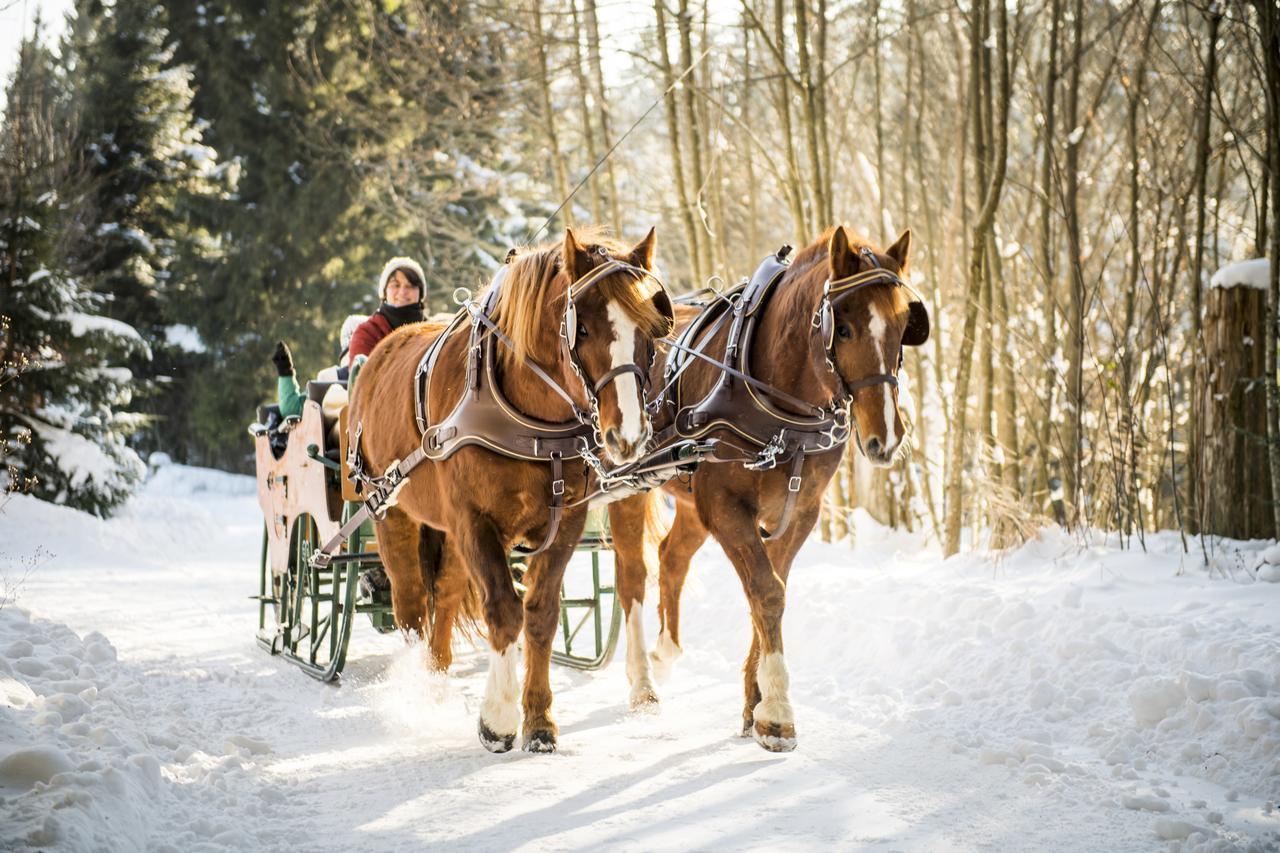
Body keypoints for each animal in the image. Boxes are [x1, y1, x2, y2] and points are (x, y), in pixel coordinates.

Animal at [345, 227, 675, 753]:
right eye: (582, 329)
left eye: (649, 329)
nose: (627, 435)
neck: (528, 414)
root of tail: (377, 357)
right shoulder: (474, 520)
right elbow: (502, 608)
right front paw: (497, 719)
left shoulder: (564, 521)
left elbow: (539, 612)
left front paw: (538, 719)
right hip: (389, 510)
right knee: (411, 604)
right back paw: (421, 692)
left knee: (446, 593)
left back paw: (438, 675)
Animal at [604, 225, 926, 753]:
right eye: (843, 328)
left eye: (904, 326)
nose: (886, 437)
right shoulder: (726, 508)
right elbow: (766, 592)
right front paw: (776, 714)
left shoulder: (800, 513)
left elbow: (771, 590)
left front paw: (754, 704)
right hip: (629, 484)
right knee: (633, 575)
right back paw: (642, 684)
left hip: (690, 501)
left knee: (672, 558)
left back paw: (666, 654)